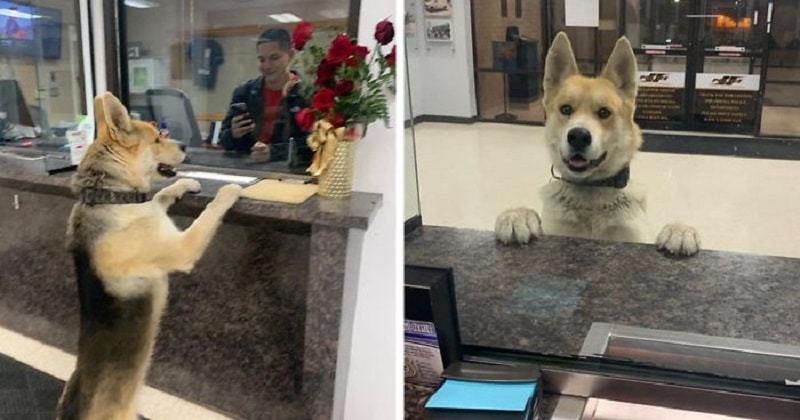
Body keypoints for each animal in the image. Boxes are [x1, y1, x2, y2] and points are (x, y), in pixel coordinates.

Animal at [55, 92, 242, 420]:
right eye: (156, 139)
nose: (184, 147)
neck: (108, 197)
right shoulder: (182, 247)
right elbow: (208, 213)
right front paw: (228, 191)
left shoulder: (153, 208)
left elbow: (160, 195)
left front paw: (185, 184)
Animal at [494, 32, 700, 256]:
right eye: (565, 109)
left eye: (604, 112)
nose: (578, 136)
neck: (590, 192)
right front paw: (517, 215)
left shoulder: (637, 237)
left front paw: (678, 230)